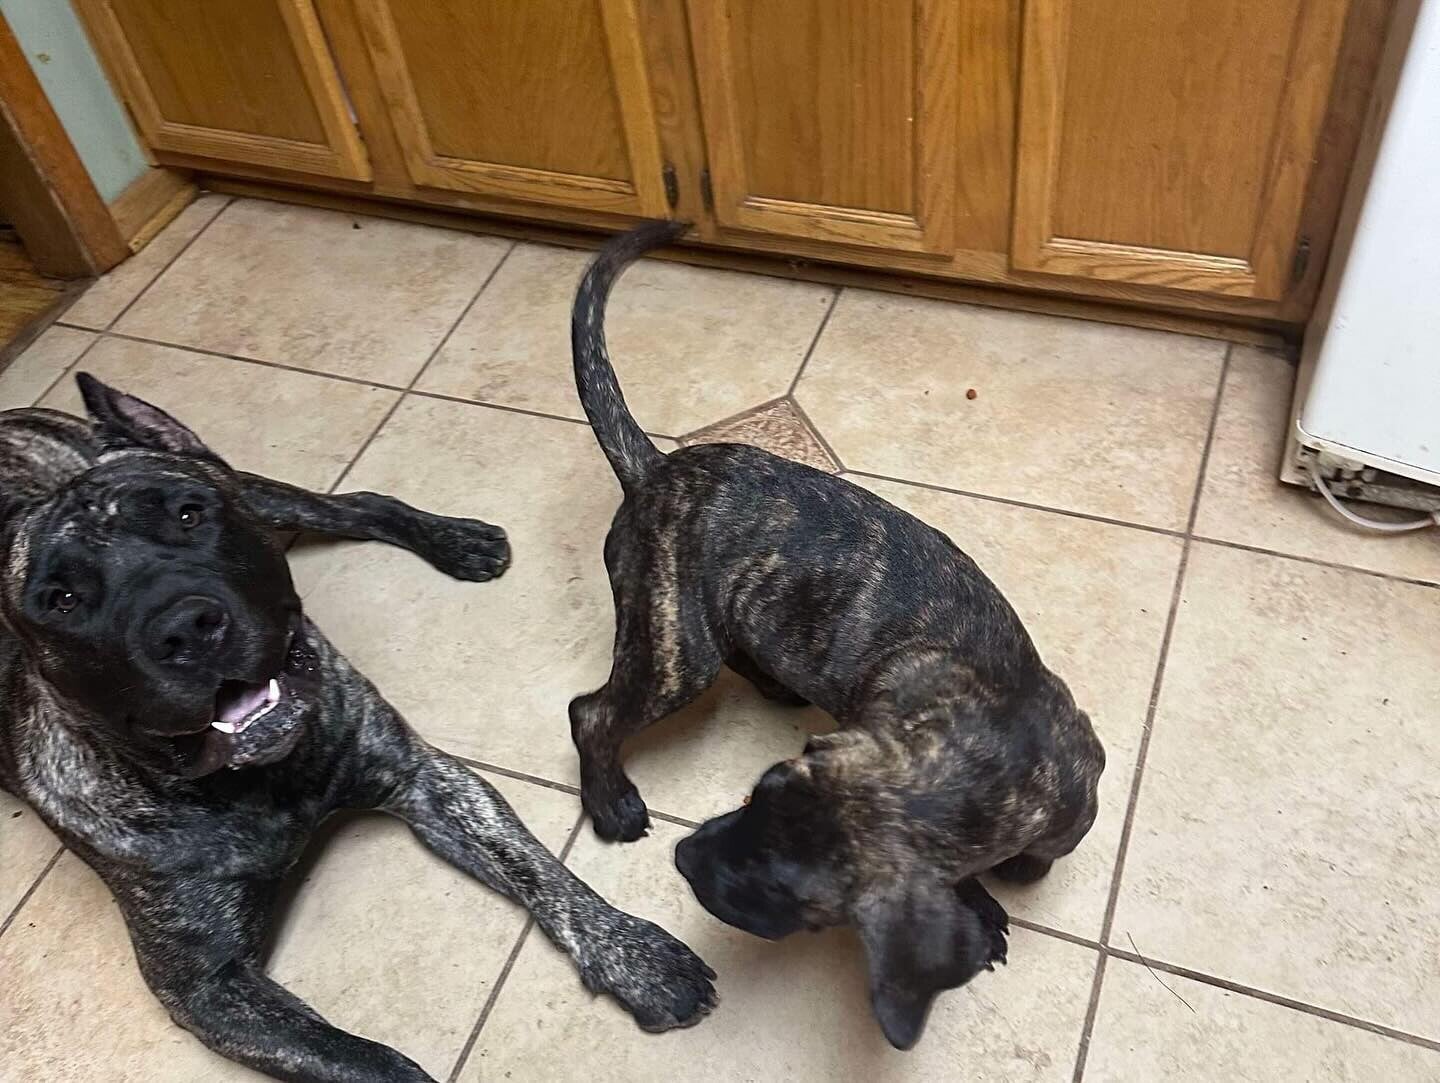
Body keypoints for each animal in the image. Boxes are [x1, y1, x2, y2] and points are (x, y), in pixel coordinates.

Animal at [0, 376, 716, 1082]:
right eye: (62, 601)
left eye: (188, 514)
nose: (184, 627)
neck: (259, 782)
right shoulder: (208, 987)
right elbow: (372, 1063)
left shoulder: (429, 780)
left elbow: (541, 874)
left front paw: (635, 957)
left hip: (255, 489)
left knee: (353, 504)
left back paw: (455, 540)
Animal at [566, 222, 1105, 1050]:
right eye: (752, 796)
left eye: (778, 894)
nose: (686, 858)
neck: (988, 746)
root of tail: (655, 470)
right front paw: (989, 902)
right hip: (676, 649)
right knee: (590, 712)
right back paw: (611, 800)